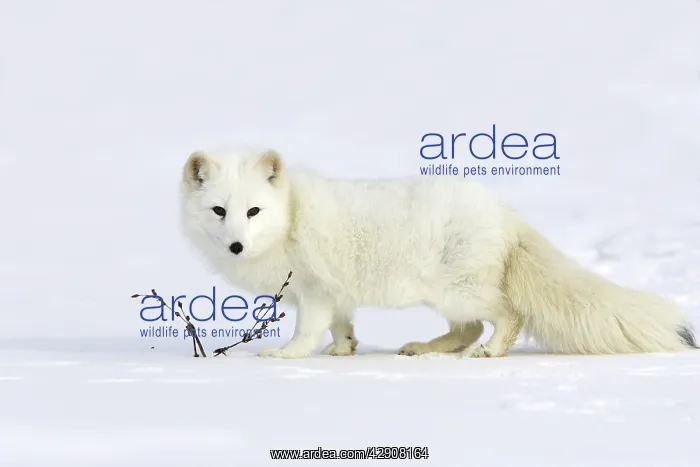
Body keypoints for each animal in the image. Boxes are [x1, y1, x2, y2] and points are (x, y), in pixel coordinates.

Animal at [179, 146, 697, 359]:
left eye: (254, 210)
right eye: (219, 211)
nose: (236, 244)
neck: (290, 218)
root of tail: (505, 214)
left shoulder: (316, 292)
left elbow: (306, 332)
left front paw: (285, 356)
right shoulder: (338, 295)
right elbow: (344, 327)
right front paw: (343, 351)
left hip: (459, 290)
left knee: (505, 317)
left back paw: (490, 352)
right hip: (446, 295)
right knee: (467, 328)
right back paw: (422, 349)